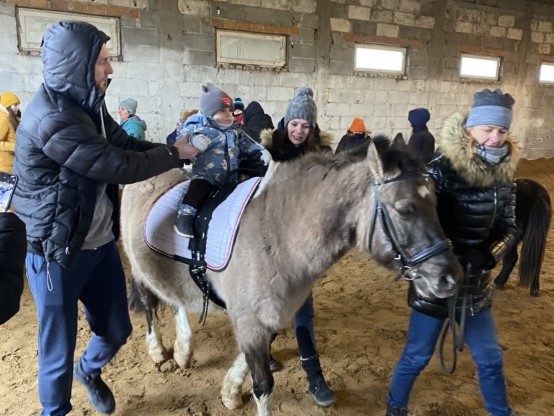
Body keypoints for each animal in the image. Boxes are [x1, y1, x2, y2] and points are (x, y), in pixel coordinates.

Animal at [121, 135, 462, 414]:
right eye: (405, 209)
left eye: (436, 201)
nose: (450, 278)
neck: (277, 231)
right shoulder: (250, 320)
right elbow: (263, 386)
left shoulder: (271, 314)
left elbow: (247, 361)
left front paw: (229, 392)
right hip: (140, 269)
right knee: (150, 304)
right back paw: (159, 352)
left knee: (174, 299)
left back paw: (183, 350)